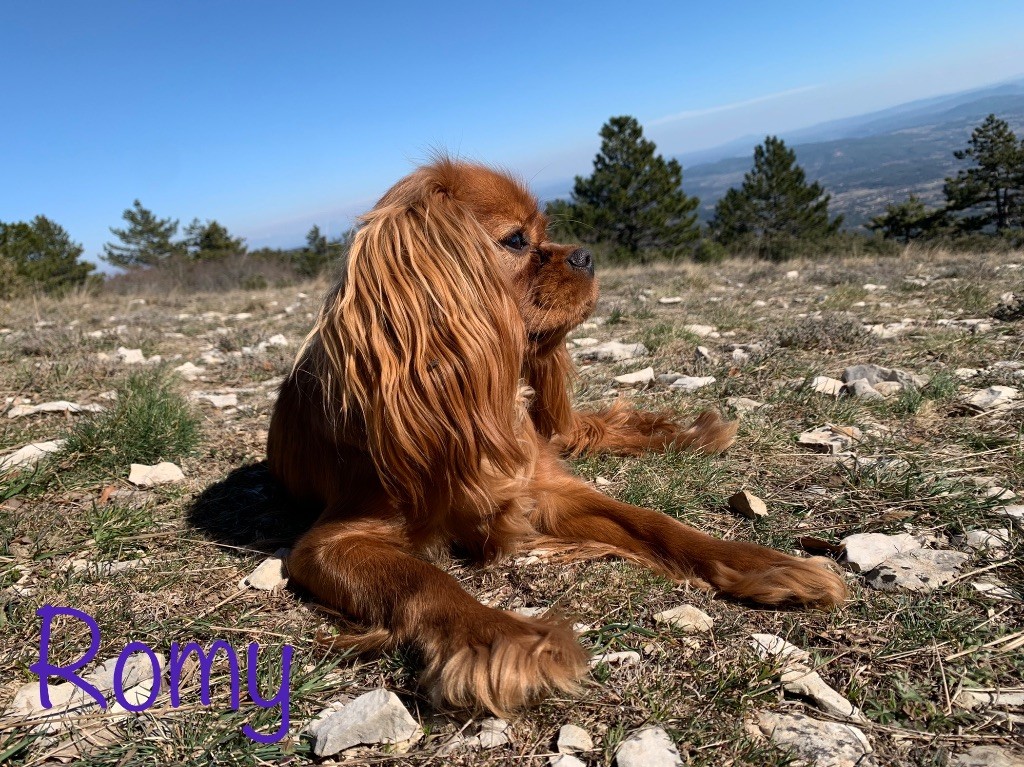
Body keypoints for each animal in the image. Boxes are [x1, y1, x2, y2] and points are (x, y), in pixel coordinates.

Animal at [266, 158, 846, 716]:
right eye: (516, 240)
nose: (586, 255)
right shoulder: (328, 545)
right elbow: (422, 578)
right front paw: (500, 637)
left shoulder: (549, 491)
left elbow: (655, 522)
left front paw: (765, 562)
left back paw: (690, 436)